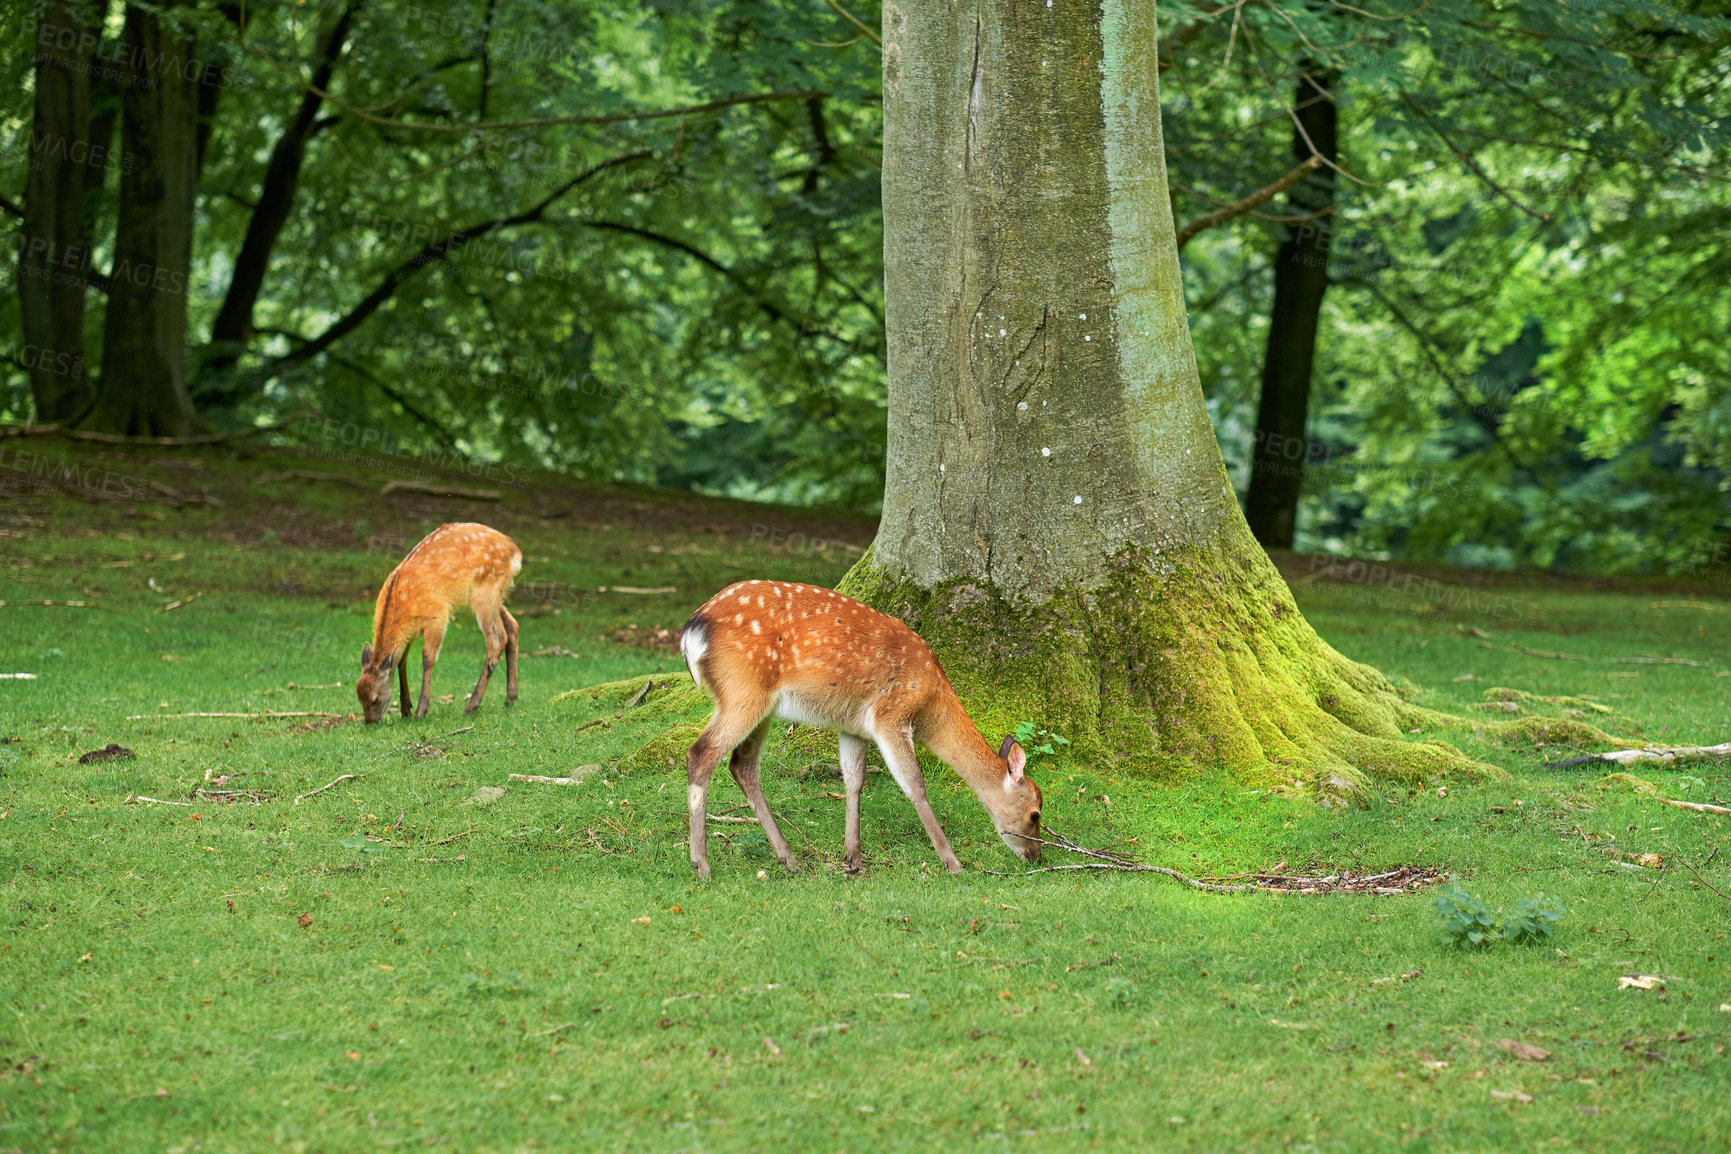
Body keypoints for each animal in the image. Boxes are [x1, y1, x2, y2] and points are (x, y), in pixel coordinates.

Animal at [358, 522, 519, 723]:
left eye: (375, 699)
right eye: (359, 698)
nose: (370, 723)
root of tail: (515, 551)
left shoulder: (438, 616)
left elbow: (427, 658)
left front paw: (421, 711)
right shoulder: (409, 634)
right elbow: (401, 661)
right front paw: (405, 709)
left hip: (485, 592)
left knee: (497, 639)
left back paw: (471, 706)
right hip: (495, 595)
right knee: (512, 625)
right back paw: (510, 698)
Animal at [675, 577, 1038, 875]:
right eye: (1036, 813)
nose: (1035, 855)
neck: (930, 701)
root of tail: (692, 630)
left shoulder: (853, 726)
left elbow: (854, 779)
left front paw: (853, 857)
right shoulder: (890, 716)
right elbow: (914, 784)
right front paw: (952, 862)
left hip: (760, 706)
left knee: (743, 764)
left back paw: (788, 858)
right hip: (743, 691)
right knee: (701, 753)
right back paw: (701, 863)